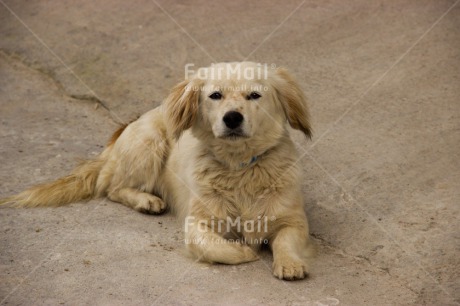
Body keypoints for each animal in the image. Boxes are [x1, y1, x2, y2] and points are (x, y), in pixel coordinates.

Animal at [1, 61, 314, 280]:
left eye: (254, 95)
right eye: (215, 95)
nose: (232, 118)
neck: (240, 167)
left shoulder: (293, 220)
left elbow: (285, 241)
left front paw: (290, 264)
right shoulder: (197, 223)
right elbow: (213, 246)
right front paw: (243, 251)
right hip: (150, 141)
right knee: (112, 187)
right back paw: (147, 200)